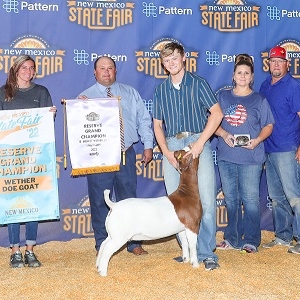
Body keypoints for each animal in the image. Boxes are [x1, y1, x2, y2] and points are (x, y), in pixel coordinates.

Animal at [97, 148, 203, 276]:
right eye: (188, 152)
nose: (193, 147)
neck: (187, 193)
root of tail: (114, 205)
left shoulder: (182, 228)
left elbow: (184, 243)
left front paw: (185, 260)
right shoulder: (192, 226)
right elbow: (192, 245)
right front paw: (195, 264)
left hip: (113, 233)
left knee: (103, 244)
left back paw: (97, 266)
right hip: (120, 237)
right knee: (107, 249)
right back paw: (103, 272)